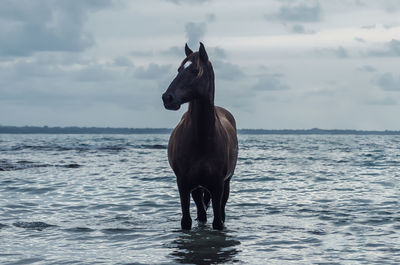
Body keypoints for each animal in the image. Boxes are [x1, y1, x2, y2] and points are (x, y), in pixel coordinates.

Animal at [162, 42, 238, 229]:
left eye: (195, 70)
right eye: (179, 69)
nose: (167, 98)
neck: (201, 140)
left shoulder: (218, 186)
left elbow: (218, 222)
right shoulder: (183, 185)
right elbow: (186, 221)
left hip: (225, 184)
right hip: (196, 188)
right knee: (201, 212)